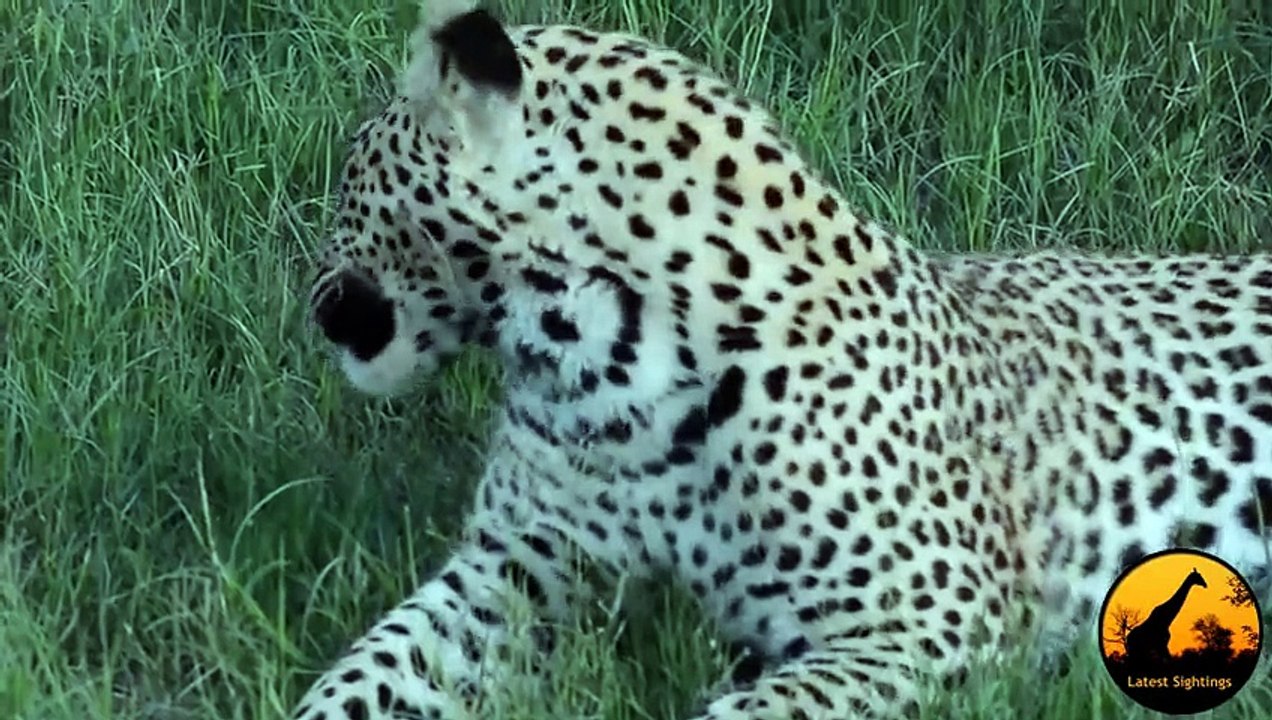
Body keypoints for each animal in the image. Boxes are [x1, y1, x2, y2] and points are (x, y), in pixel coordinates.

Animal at [300, 1, 1272, 717]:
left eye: (350, 170)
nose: (313, 297)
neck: (602, 366)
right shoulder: (519, 567)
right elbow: (373, 668)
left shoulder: (935, 617)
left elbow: (757, 709)